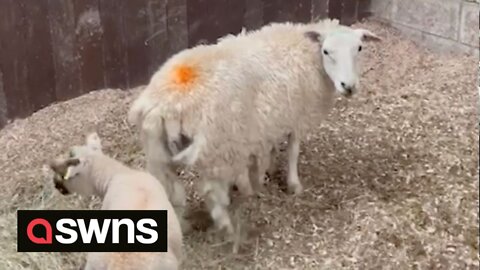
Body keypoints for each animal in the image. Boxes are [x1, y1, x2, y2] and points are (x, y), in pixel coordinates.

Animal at [128, 18, 382, 238]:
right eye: (326, 51)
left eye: (360, 48)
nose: (348, 86)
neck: (305, 51)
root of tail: (167, 100)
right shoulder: (296, 115)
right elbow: (293, 152)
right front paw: (293, 184)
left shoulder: (270, 118)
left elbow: (268, 149)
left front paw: (263, 173)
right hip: (215, 146)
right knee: (212, 194)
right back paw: (228, 229)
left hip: (159, 152)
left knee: (172, 192)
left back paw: (183, 226)